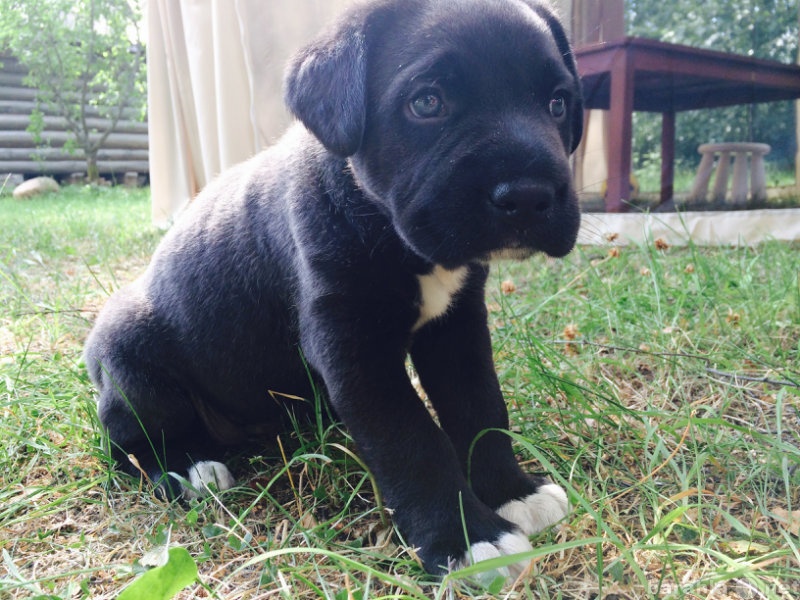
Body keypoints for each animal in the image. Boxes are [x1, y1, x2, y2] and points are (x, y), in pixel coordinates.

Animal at [84, 0, 584, 580]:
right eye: (428, 102)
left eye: (557, 103)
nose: (528, 196)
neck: (389, 230)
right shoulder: (353, 348)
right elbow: (413, 440)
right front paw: (466, 539)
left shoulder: (456, 327)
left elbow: (480, 407)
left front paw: (511, 492)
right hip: (134, 368)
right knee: (129, 447)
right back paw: (188, 470)